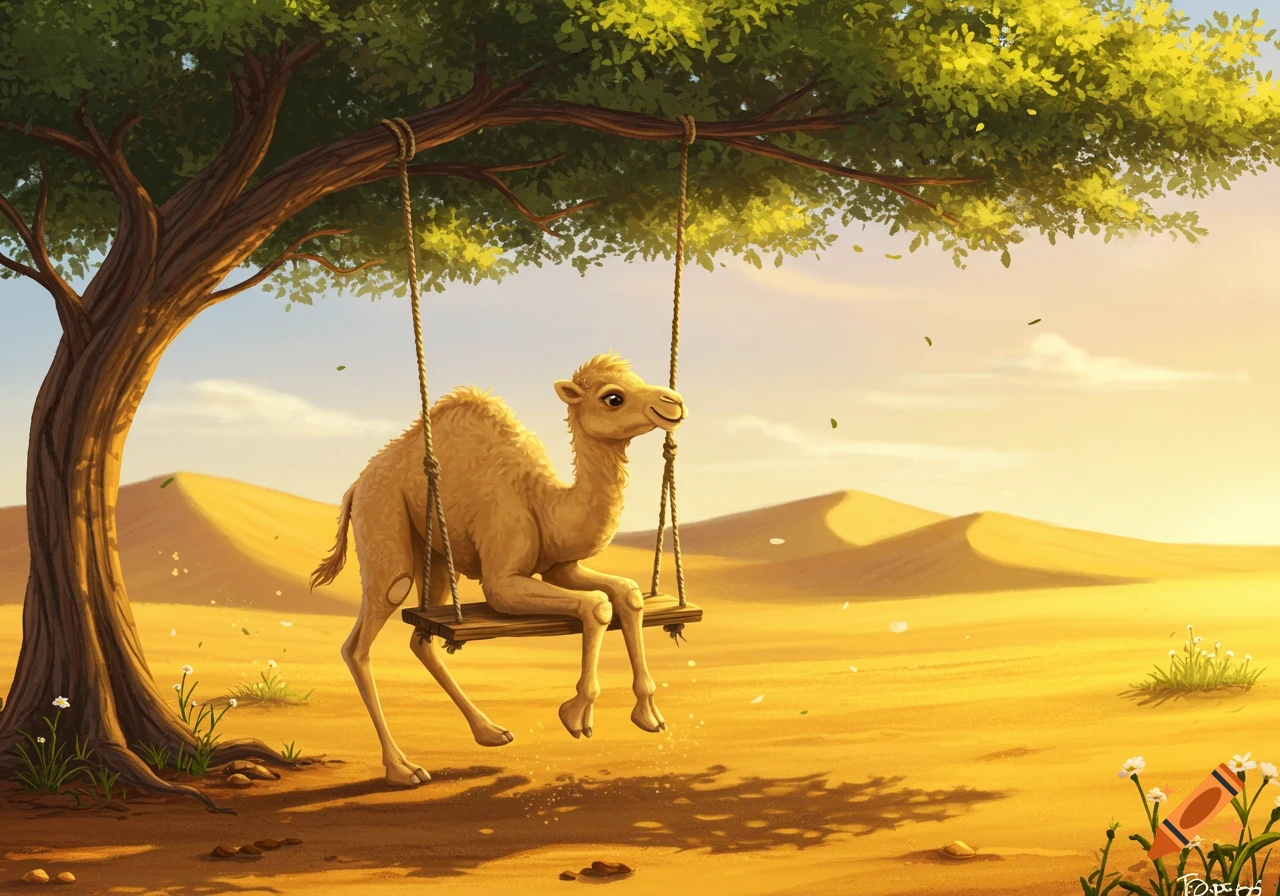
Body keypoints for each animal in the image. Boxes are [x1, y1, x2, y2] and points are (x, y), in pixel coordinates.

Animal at [309, 353, 687, 787]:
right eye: (613, 397)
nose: (673, 402)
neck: (544, 501)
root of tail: (354, 487)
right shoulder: (502, 581)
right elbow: (596, 605)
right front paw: (576, 714)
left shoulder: (560, 567)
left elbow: (627, 593)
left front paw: (648, 713)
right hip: (384, 523)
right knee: (363, 638)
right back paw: (403, 768)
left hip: (436, 556)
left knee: (421, 638)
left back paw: (489, 731)